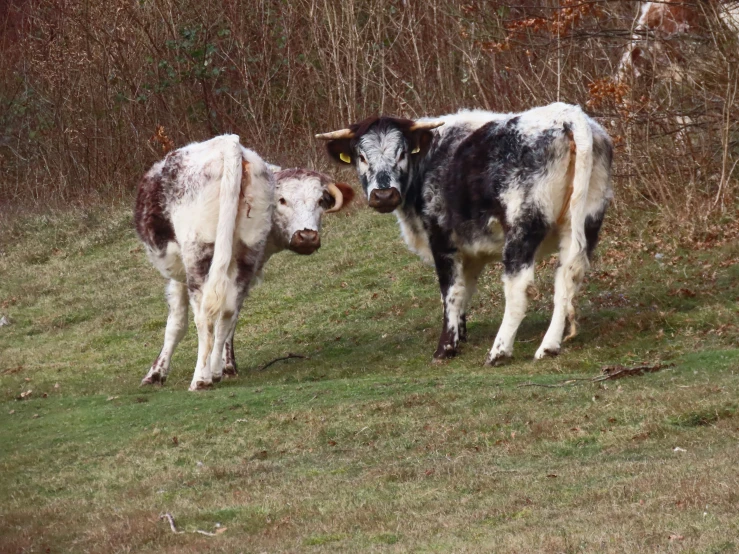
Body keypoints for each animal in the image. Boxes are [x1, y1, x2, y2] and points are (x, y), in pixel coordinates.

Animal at [137, 134, 356, 390]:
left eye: (321, 201)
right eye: (282, 200)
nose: (308, 236)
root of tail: (231, 144)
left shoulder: (181, 274)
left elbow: (176, 324)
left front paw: (155, 374)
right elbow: (230, 320)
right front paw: (226, 366)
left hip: (198, 255)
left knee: (204, 315)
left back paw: (201, 378)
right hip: (243, 255)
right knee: (227, 311)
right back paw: (214, 372)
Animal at [318, 102, 612, 364]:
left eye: (401, 154)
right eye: (362, 156)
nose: (383, 195)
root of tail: (568, 115)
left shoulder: (441, 240)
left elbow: (450, 292)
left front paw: (446, 348)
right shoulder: (471, 250)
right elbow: (465, 290)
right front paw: (461, 334)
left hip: (522, 228)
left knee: (518, 287)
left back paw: (499, 351)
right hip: (584, 221)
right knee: (566, 280)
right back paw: (549, 346)